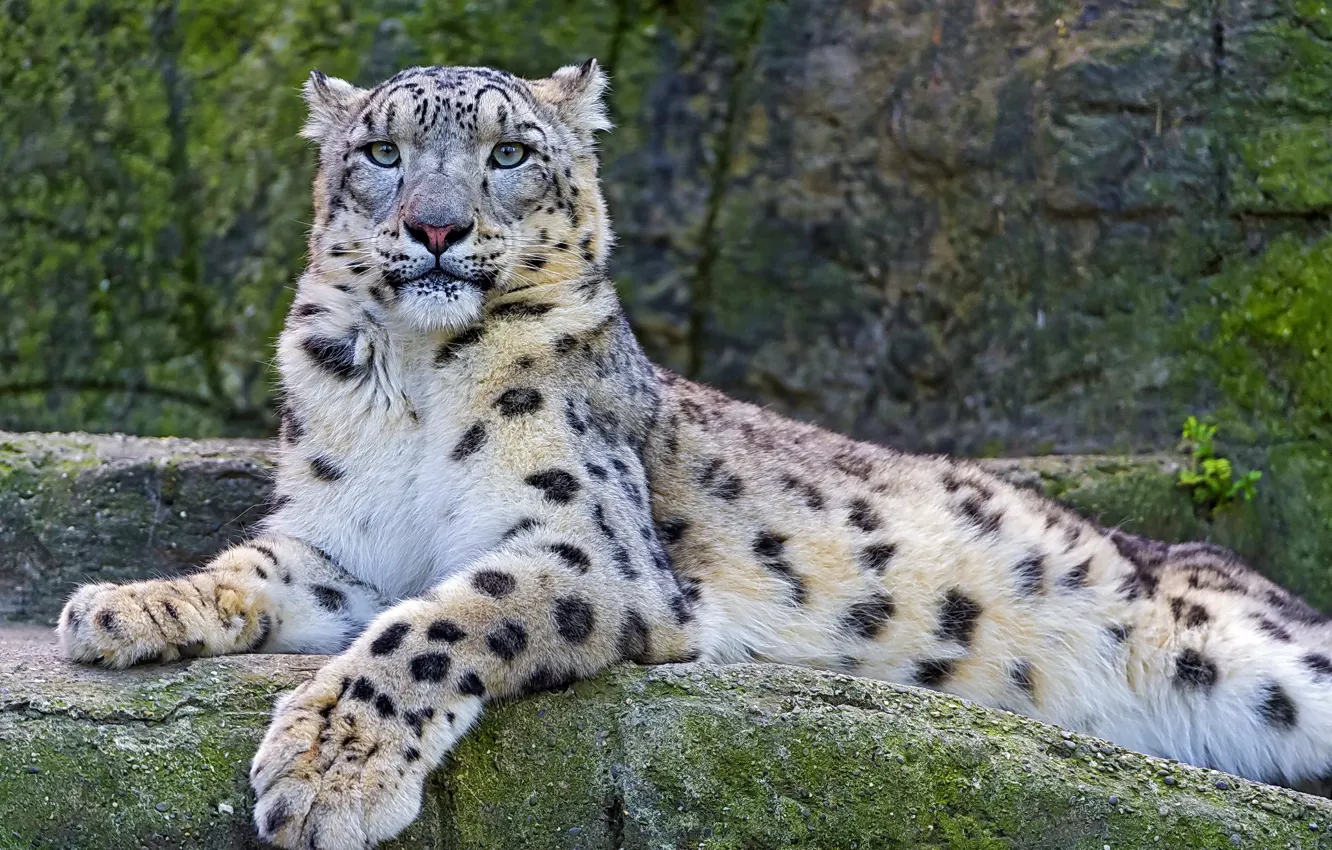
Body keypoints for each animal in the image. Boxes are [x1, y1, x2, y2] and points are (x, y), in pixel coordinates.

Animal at [56, 59, 1332, 849]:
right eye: (379, 149)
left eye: (510, 151)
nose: (435, 224)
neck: (412, 381)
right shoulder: (339, 543)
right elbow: (249, 568)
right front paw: (123, 606)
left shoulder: (587, 544)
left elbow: (435, 625)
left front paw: (326, 768)